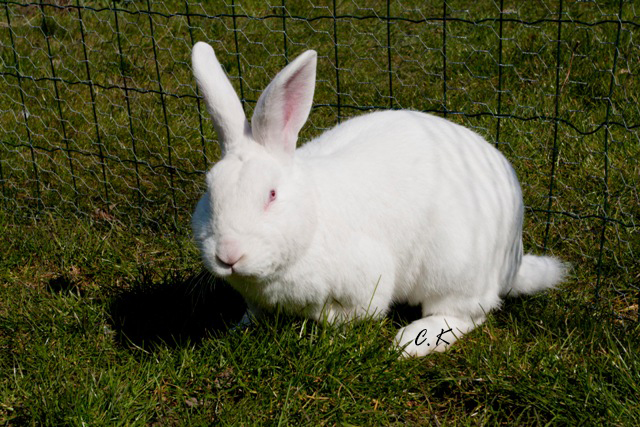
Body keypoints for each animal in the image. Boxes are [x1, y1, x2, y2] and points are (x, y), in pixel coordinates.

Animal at [189, 42, 564, 358]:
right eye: (210, 190)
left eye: (271, 194)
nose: (228, 256)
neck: (314, 218)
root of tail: (512, 263)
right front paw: (238, 327)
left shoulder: (367, 282)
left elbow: (352, 314)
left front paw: (325, 323)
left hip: (455, 272)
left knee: (467, 313)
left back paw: (412, 342)